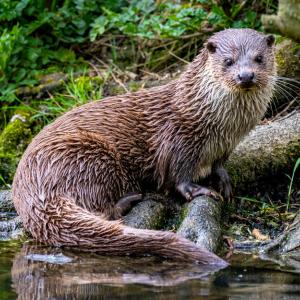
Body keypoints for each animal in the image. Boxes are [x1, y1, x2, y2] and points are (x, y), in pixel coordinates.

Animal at [12, 29, 276, 266]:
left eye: (259, 58)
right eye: (228, 61)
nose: (245, 76)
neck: (218, 126)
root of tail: (31, 187)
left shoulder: (225, 146)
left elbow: (219, 165)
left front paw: (223, 181)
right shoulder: (179, 138)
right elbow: (178, 176)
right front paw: (199, 190)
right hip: (89, 155)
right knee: (101, 210)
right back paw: (131, 199)